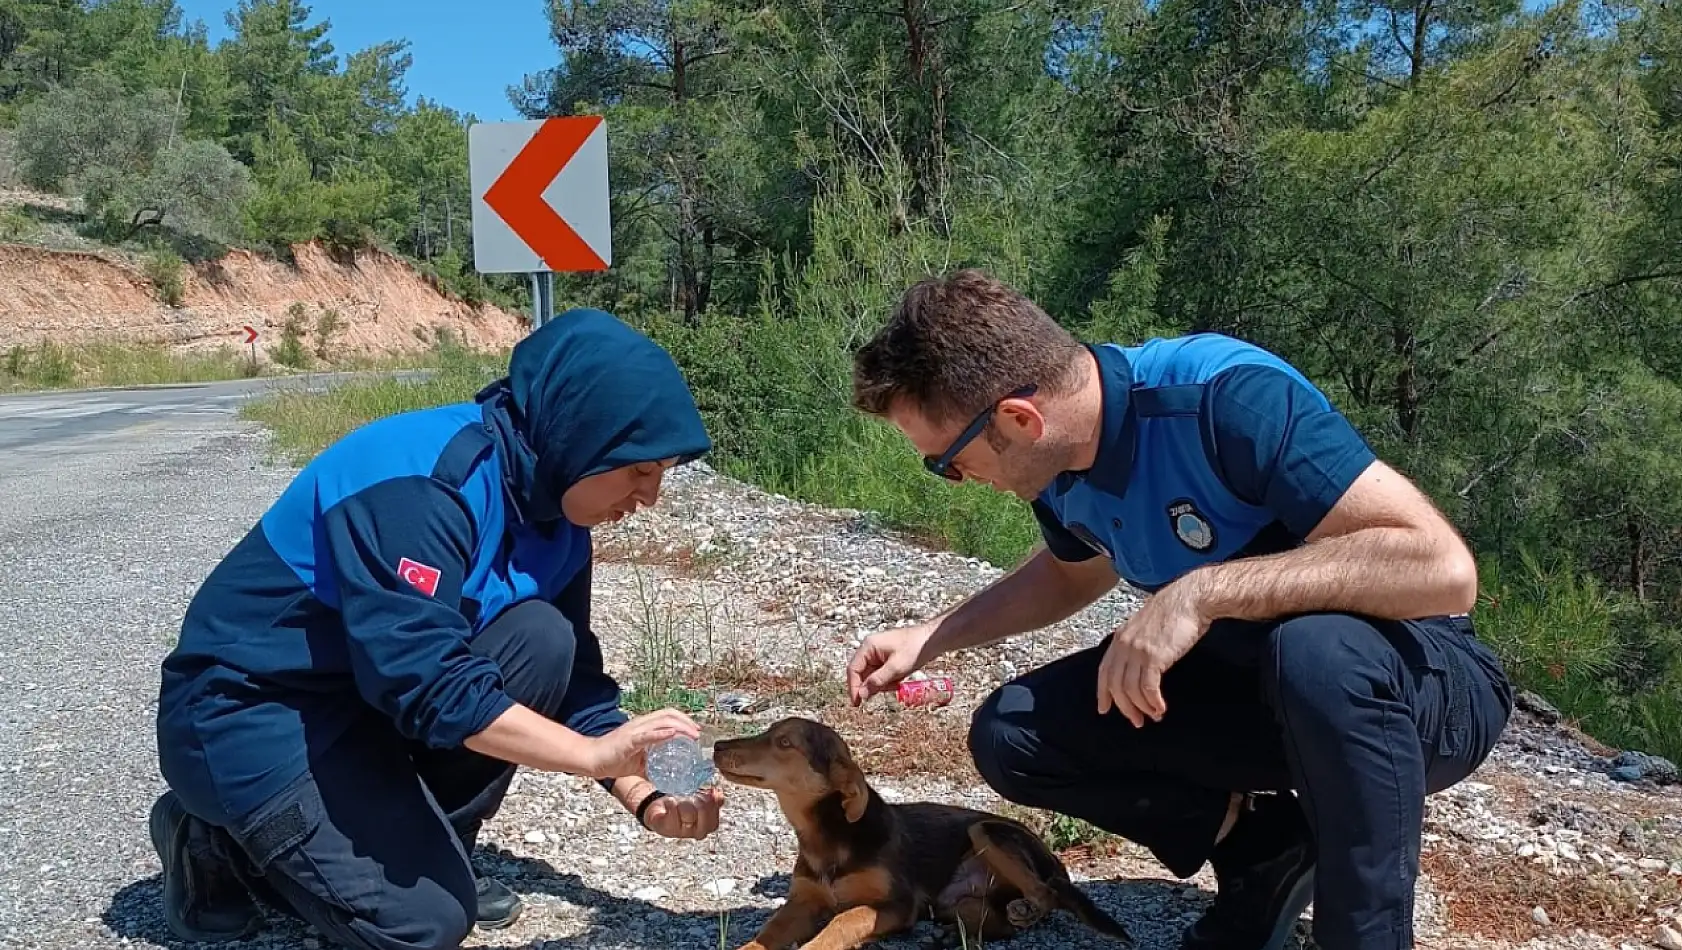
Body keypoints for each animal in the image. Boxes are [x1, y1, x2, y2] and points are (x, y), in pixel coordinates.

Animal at [709, 716, 1130, 941]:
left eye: (783, 742)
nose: (717, 745)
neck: (828, 836)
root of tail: (1059, 864)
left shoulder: (897, 903)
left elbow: (840, 923)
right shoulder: (802, 902)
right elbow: (765, 936)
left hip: (988, 832)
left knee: (1045, 895)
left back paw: (1026, 908)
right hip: (957, 903)